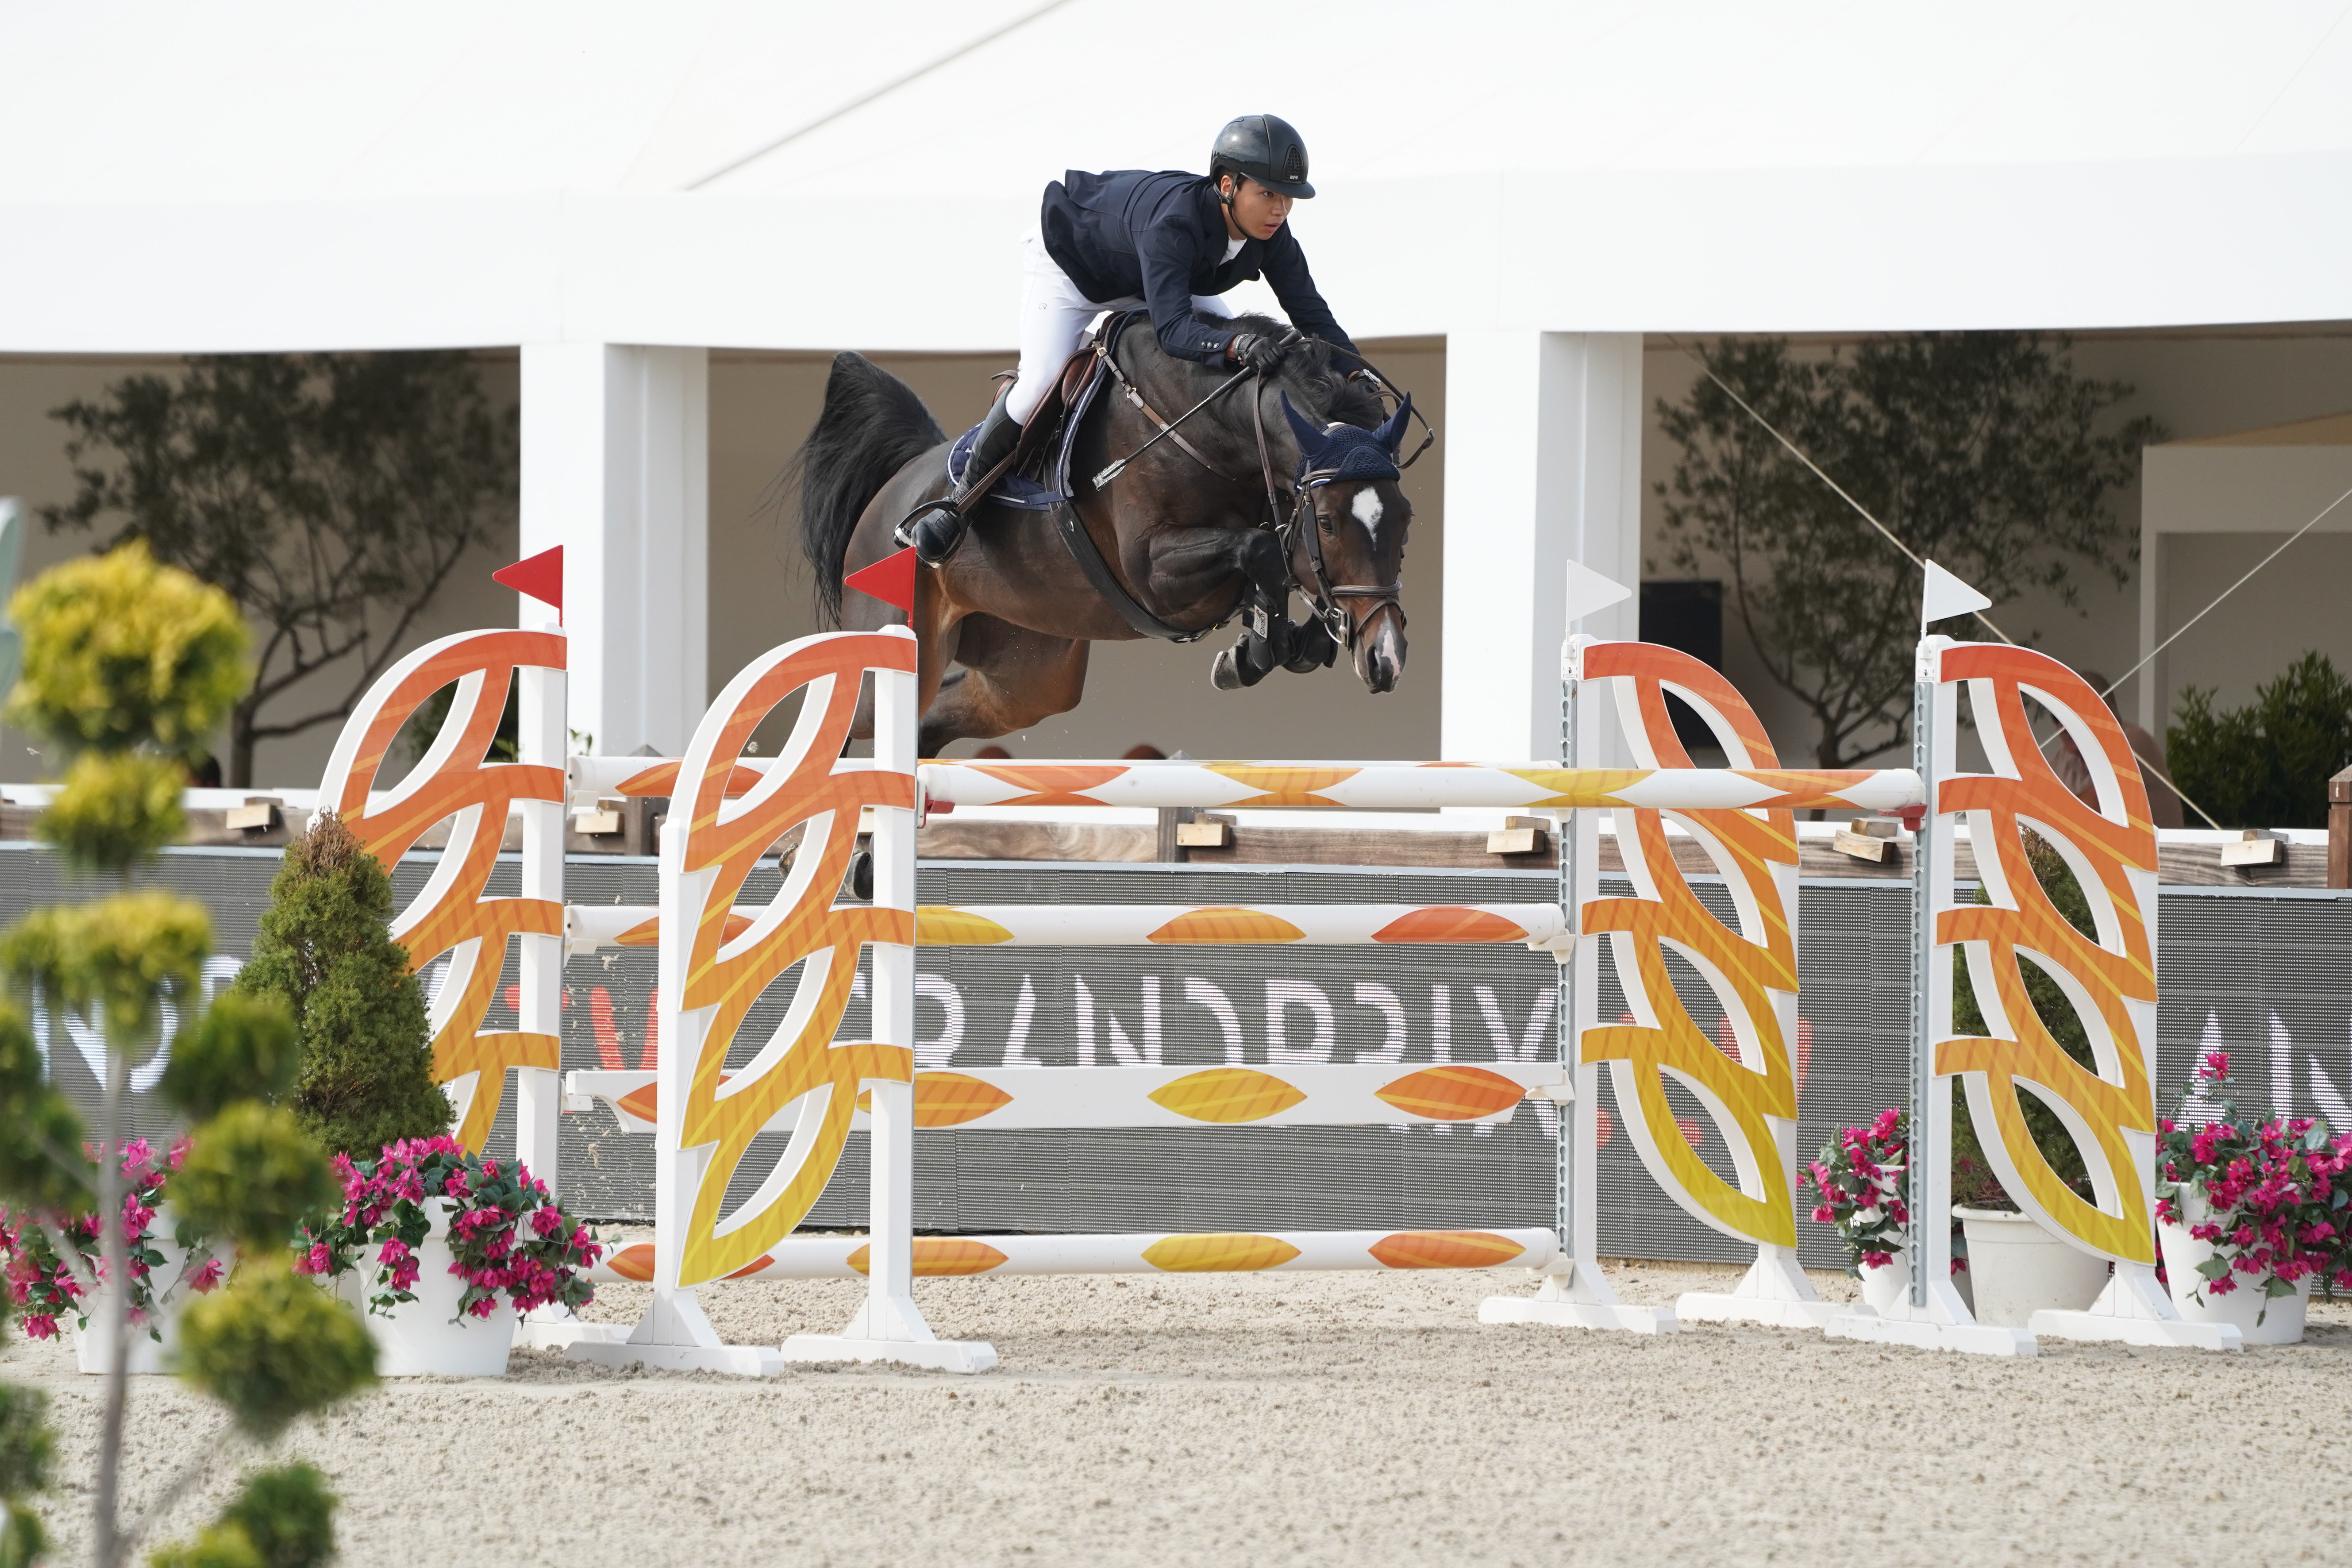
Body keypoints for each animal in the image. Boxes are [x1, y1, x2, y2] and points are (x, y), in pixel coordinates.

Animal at [790, 315, 1411, 757]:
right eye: (1327, 522)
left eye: (1403, 521)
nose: (1386, 659)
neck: (1213, 431)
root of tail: (897, 488)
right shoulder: (1153, 575)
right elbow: (1259, 553)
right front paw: (1259, 648)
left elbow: (1276, 565)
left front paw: (1275, 645)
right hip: (897, 646)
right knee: (849, 710)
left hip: (1029, 675)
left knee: (934, 720)